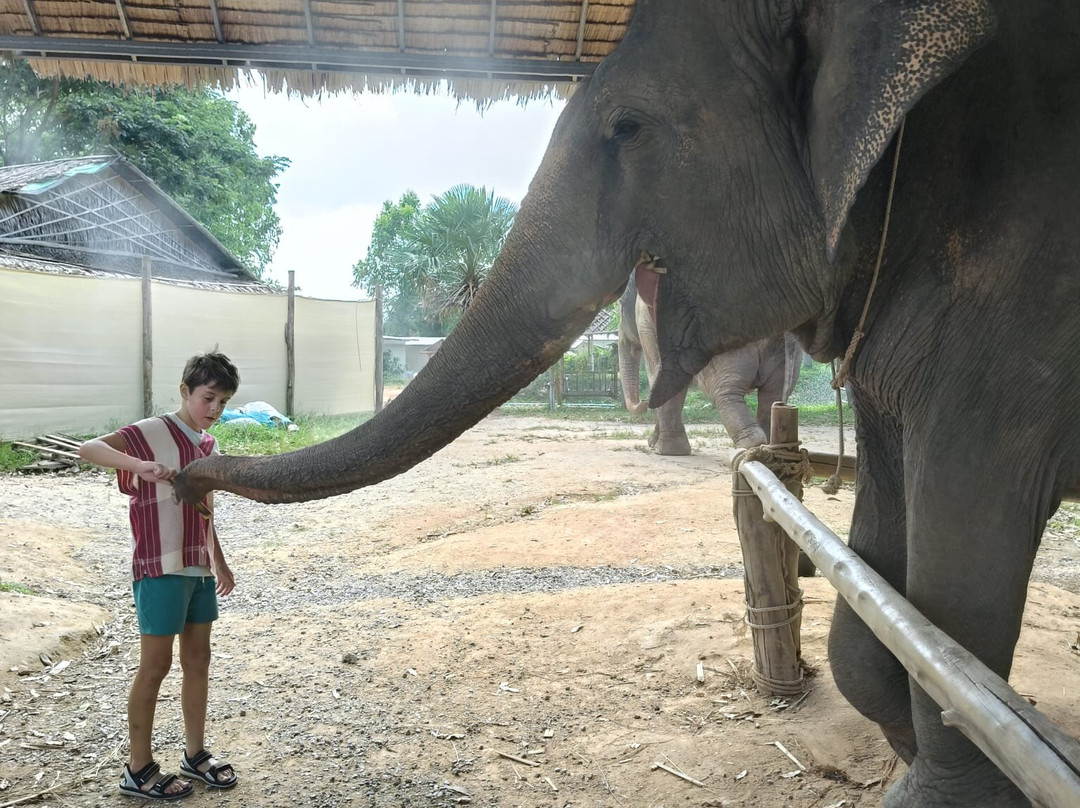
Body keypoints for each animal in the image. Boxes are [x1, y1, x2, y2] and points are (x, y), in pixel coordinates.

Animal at [618, 267, 802, 454]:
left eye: (621, 304)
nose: (644, 401)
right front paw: (657, 444)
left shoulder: (648, 322)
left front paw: (667, 451)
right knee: (772, 395)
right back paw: (771, 447)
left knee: (724, 392)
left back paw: (752, 446)